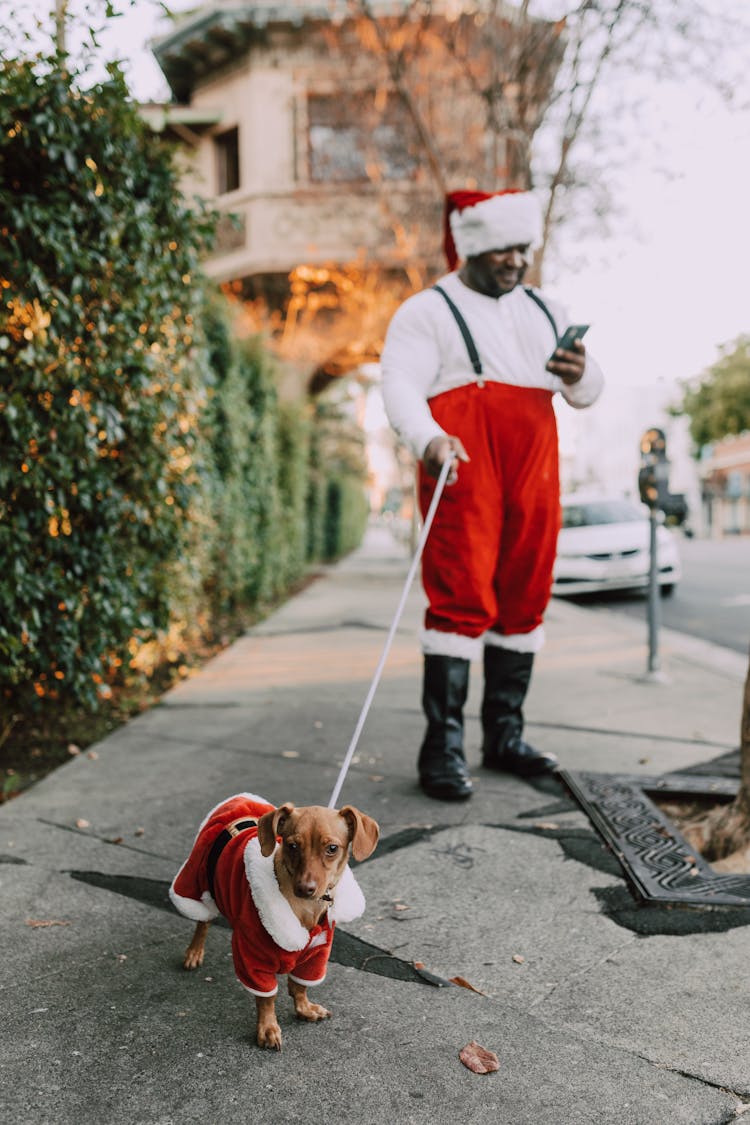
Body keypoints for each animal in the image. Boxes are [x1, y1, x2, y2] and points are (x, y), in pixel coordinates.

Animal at [172, 796, 377, 1048]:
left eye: (332, 848)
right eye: (292, 846)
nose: (305, 889)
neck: (305, 909)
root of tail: (238, 799)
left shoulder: (317, 954)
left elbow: (299, 985)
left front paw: (304, 1008)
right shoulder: (253, 957)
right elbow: (267, 998)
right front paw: (268, 1028)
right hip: (198, 884)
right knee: (203, 922)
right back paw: (194, 952)